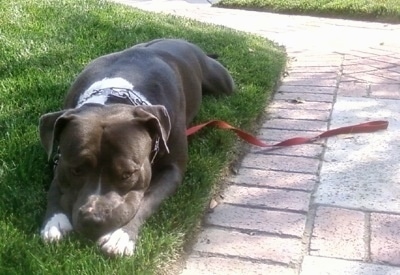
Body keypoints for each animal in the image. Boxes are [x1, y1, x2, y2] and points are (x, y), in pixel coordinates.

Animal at [38, 38, 234, 256]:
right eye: (77, 170)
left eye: (128, 174)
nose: (94, 219)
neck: (114, 96)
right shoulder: (60, 162)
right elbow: (54, 189)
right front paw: (55, 221)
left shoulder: (172, 170)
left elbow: (147, 199)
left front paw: (121, 236)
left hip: (222, 82)